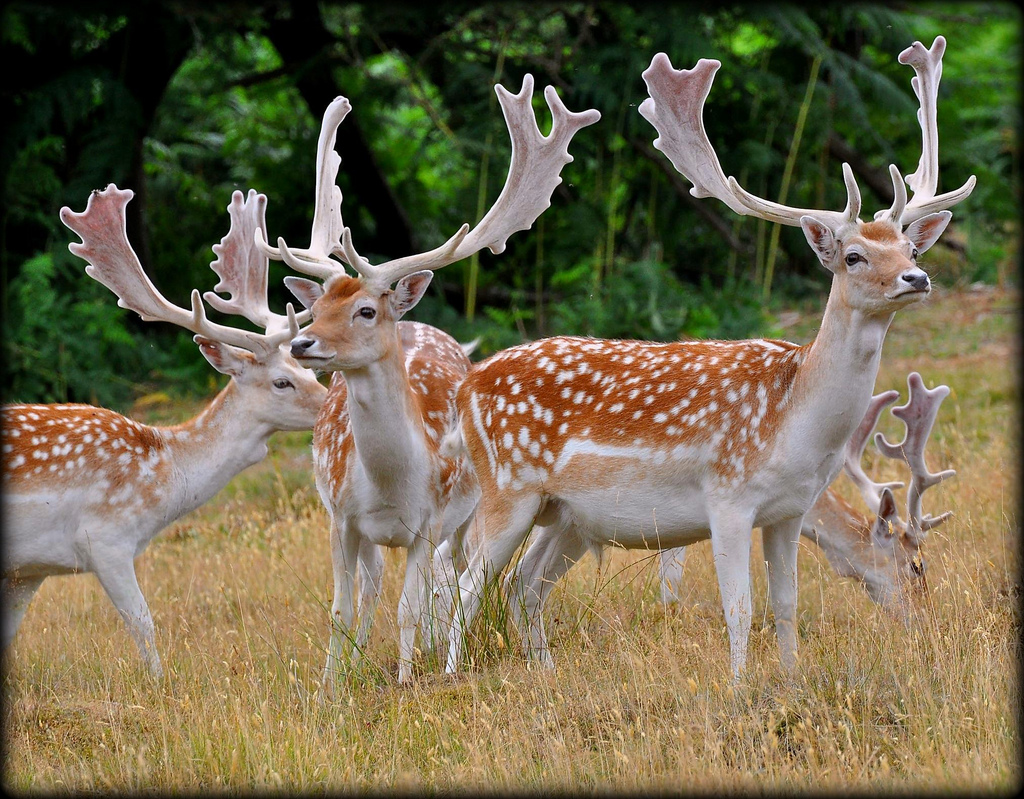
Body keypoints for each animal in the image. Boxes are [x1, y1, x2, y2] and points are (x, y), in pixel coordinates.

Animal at [0, 185, 325, 676]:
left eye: (309, 371)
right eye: (281, 381)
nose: (330, 406)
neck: (167, 476)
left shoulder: (30, 568)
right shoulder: (105, 539)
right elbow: (143, 624)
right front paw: (158, 681)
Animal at [256, 80, 602, 688]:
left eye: (366, 310)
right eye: (315, 309)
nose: (302, 345)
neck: (390, 486)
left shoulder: (427, 522)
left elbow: (410, 606)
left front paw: (406, 679)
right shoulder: (340, 518)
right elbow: (341, 607)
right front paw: (328, 689)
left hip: (470, 509)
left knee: (451, 578)